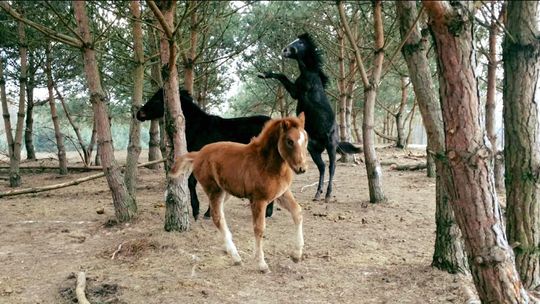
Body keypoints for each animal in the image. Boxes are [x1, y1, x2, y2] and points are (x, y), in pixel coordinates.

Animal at [135, 89, 274, 220]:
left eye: (158, 99)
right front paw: (207, 212)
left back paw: (267, 212)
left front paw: (198, 211)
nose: (139, 113)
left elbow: (193, 182)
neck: (198, 128)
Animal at [171, 114, 310, 274]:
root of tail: (199, 153)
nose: (302, 168)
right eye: (289, 141)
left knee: (219, 214)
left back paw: (228, 248)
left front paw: (296, 255)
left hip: (225, 191)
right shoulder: (258, 200)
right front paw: (261, 264)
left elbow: (297, 212)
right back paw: (236, 256)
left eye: (306, 139)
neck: (267, 164)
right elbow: (259, 228)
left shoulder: (282, 193)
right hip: (214, 190)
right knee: (217, 217)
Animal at [258, 32, 360, 202]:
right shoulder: (295, 92)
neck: (308, 73)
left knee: (332, 167)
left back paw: (328, 194)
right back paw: (318, 194)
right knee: (322, 167)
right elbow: (281, 75)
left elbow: (283, 76)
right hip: (313, 149)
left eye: (300, 43)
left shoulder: (299, 91)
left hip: (331, 146)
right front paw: (263, 74)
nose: (285, 50)